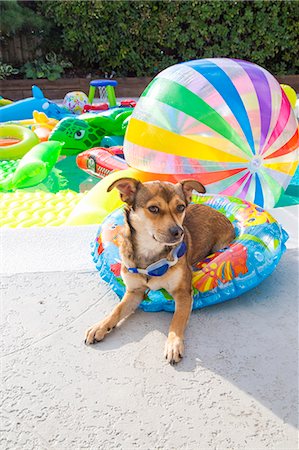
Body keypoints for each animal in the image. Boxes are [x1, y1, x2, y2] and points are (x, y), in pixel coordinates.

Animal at [85, 178, 237, 364]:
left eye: (181, 207)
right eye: (153, 209)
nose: (178, 232)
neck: (151, 253)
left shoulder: (183, 292)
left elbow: (177, 319)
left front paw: (173, 344)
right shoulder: (134, 292)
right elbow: (117, 310)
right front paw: (100, 326)